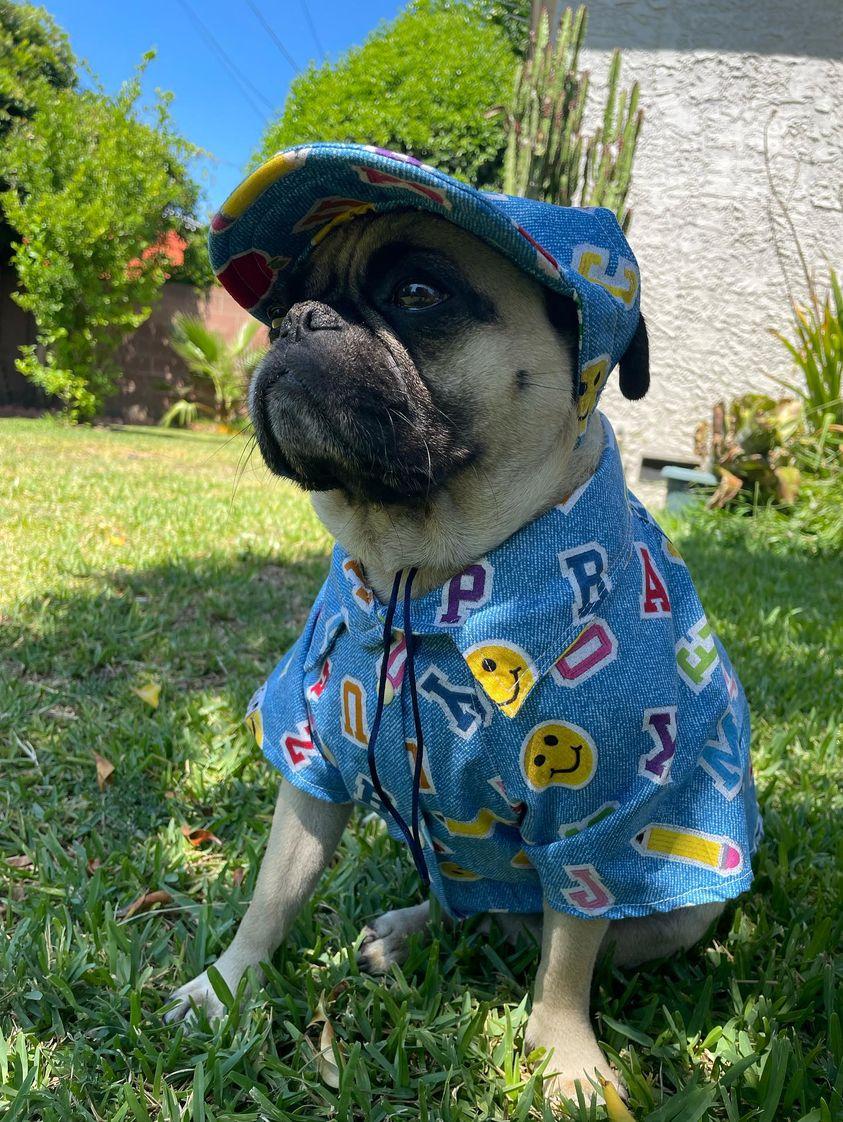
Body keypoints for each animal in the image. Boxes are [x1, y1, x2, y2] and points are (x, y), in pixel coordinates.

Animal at [165, 144, 758, 1099]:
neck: (424, 570)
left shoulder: (589, 824)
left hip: (675, 906)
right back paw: (406, 930)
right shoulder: (310, 763)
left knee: (546, 932)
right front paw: (227, 986)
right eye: (279, 309)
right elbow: (273, 892)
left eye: (418, 293)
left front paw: (564, 1061)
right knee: (466, 909)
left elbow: (567, 960)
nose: (297, 322)